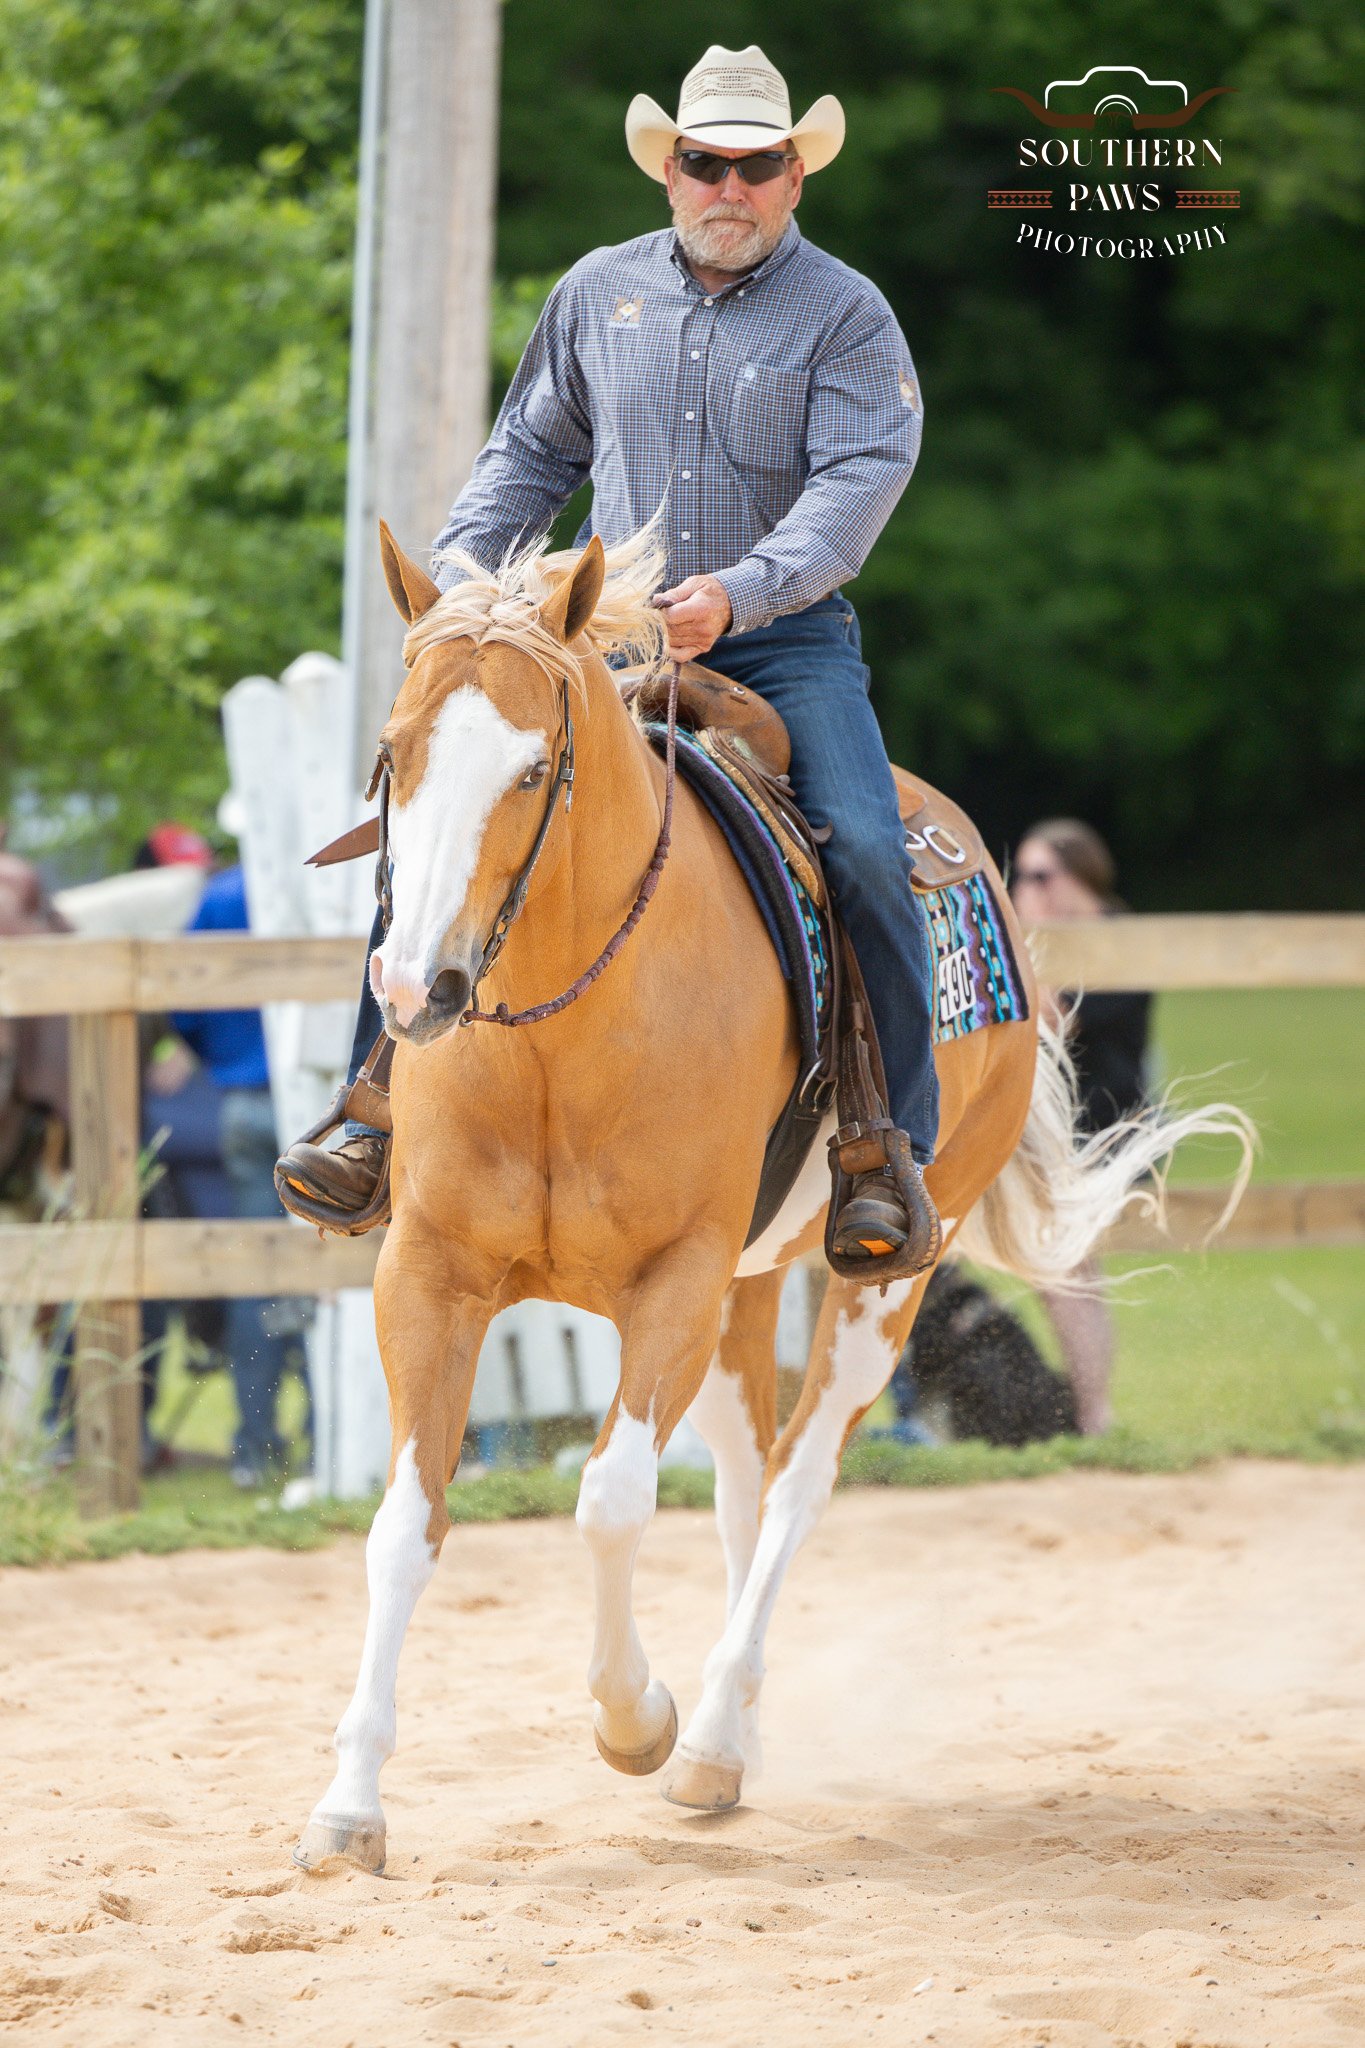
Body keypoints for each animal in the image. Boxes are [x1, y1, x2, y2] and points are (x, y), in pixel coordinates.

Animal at [294, 522, 1249, 1869]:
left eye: (535, 769)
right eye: (395, 753)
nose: (414, 982)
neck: (560, 1036)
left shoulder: (674, 1284)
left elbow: (611, 1500)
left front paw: (636, 1717)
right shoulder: (428, 1273)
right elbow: (406, 1524)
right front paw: (350, 1804)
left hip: (885, 1280)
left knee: (799, 1473)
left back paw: (702, 1740)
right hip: (746, 1288)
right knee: (748, 1475)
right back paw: (732, 1734)